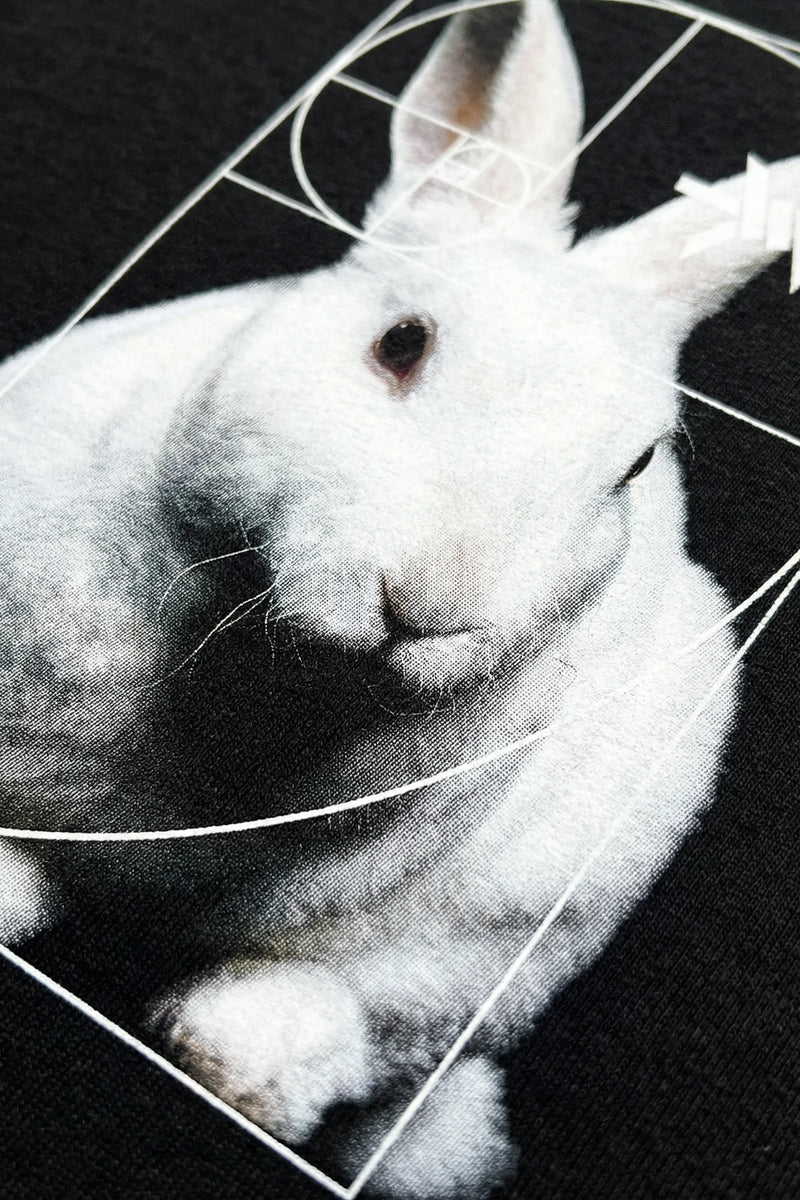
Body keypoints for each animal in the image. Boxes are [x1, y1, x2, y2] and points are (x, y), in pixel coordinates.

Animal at [0, 1, 798, 1196]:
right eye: (401, 343)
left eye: (632, 465)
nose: (431, 603)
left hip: (515, 930)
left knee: (373, 1029)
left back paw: (230, 1056)